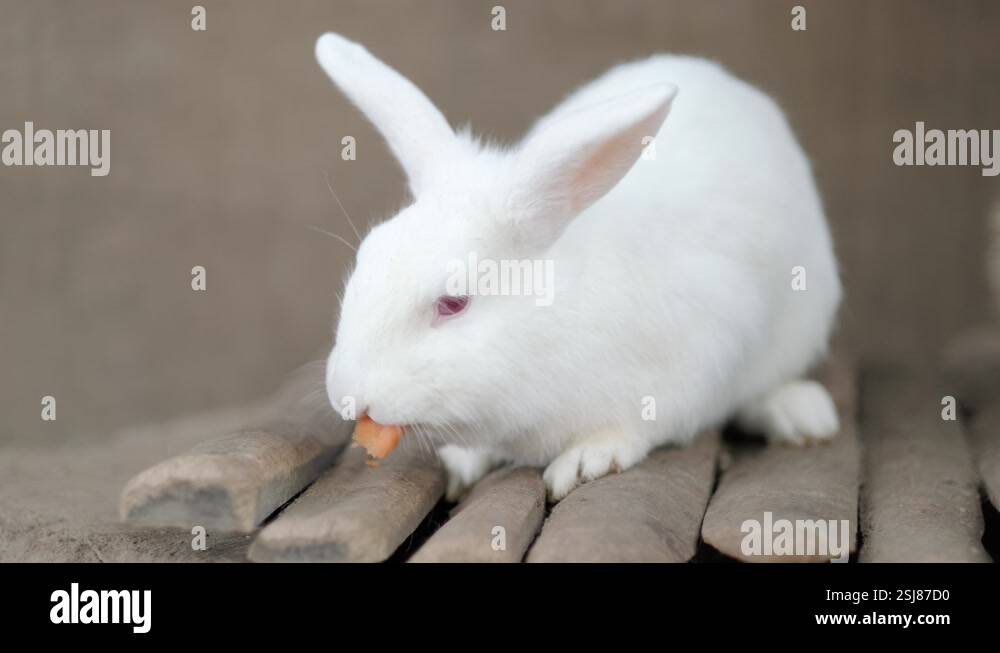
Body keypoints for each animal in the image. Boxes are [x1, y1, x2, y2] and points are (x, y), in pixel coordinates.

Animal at [316, 33, 842, 501]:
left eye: (453, 303)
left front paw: (587, 461)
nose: (347, 395)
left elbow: (636, 427)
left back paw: (802, 416)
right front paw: (462, 464)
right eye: (365, 258)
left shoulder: (692, 363)